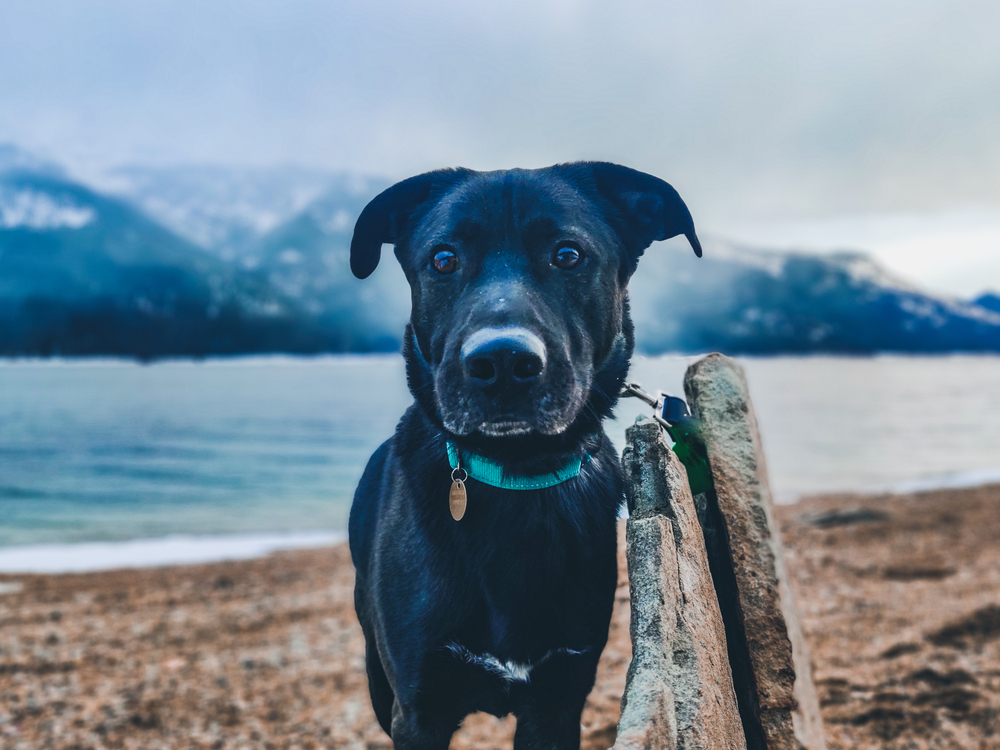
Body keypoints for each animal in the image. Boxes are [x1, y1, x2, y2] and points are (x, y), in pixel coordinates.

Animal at [352, 166, 704, 750]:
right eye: (443, 259)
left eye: (568, 254)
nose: (501, 363)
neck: (517, 476)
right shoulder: (418, 711)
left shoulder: (557, 699)